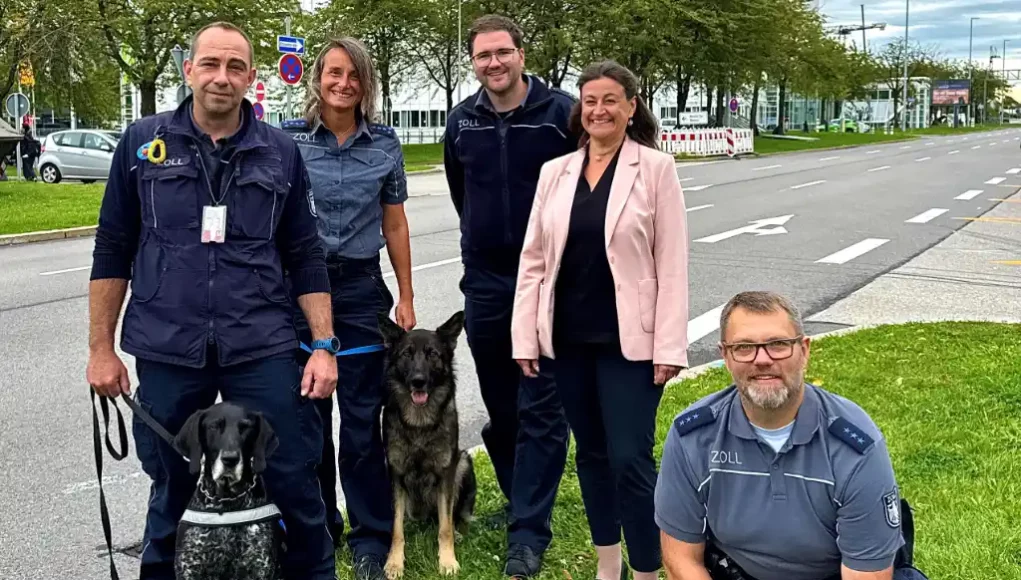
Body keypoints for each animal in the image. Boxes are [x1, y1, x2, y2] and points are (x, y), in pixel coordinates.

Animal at [170, 402, 283, 580]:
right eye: (214, 426)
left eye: (245, 427)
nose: (230, 459)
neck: (226, 500)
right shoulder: (189, 568)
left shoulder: (260, 568)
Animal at [377, 312, 475, 580]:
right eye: (407, 354)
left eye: (432, 354)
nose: (418, 381)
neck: (419, 422)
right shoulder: (396, 474)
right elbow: (396, 528)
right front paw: (394, 563)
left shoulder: (446, 472)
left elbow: (445, 526)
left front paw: (447, 561)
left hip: (463, 462)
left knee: (450, 517)